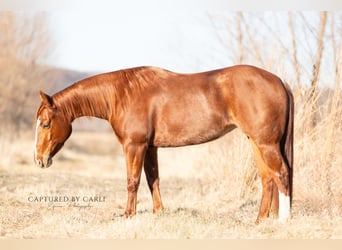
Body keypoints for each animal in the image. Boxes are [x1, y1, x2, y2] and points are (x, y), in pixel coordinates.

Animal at [33, 64, 292, 223]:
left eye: (45, 124)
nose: (39, 160)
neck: (122, 95)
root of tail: (279, 81)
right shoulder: (150, 147)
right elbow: (152, 180)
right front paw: (158, 213)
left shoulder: (135, 146)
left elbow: (133, 181)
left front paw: (128, 215)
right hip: (257, 142)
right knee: (268, 178)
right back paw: (261, 220)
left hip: (266, 143)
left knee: (281, 173)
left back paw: (284, 219)